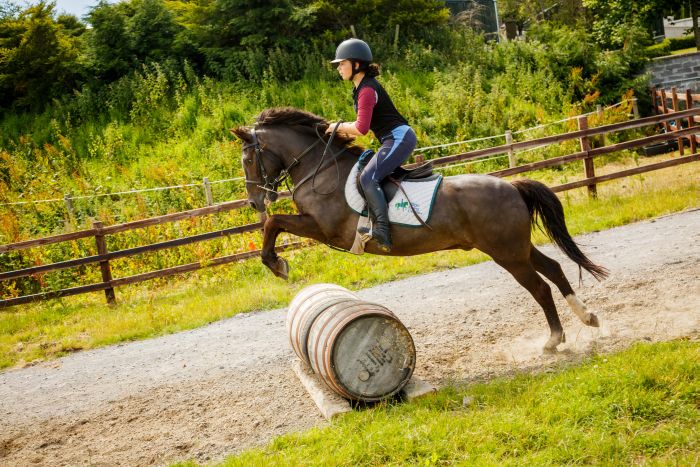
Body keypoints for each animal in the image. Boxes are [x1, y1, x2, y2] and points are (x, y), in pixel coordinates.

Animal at [231, 109, 608, 352]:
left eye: (247, 160)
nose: (254, 201)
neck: (319, 168)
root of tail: (513, 187)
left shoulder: (324, 228)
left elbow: (274, 222)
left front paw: (276, 264)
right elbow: (274, 222)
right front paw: (276, 261)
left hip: (507, 254)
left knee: (541, 288)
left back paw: (554, 340)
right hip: (516, 247)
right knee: (555, 269)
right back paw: (588, 317)